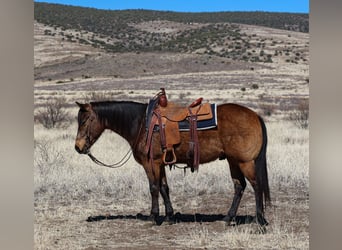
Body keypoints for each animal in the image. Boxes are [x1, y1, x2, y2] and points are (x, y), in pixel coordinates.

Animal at [74, 93, 270, 226]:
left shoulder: (151, 163)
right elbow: (164, 188)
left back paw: (260, 220)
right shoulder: (161, 163)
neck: (141, 124)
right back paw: (228, 218)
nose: (78, 147)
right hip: (233, 161)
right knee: (239, 186)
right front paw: (169, 216)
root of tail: (255, 115)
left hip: (245, 162)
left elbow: (153, 188)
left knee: (256, 185)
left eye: (83, 121)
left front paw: (153, 217)